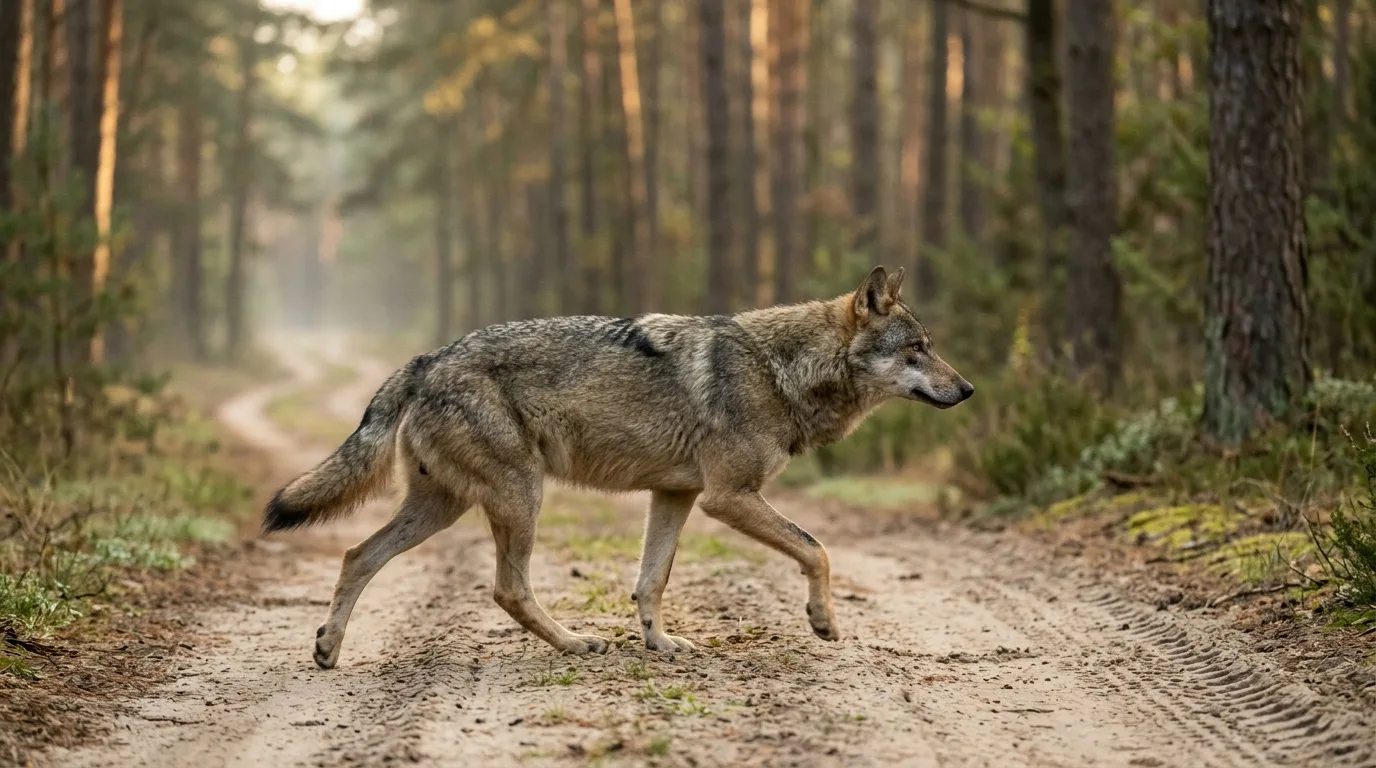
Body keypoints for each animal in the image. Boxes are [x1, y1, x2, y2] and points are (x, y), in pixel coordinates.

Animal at [263, 265, 973, 668]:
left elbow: (650, 582)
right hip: (519, 496)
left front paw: (661, 647)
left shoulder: (676, 496)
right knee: (507, 588)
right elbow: (817, 549)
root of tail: (428, 358)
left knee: (357, 554)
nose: (967, 389)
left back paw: (328, 648)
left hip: (443, 507)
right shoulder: (728, 497)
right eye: (917, 350)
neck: (782, 370)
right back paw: (577, 644)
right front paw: (823, 621)